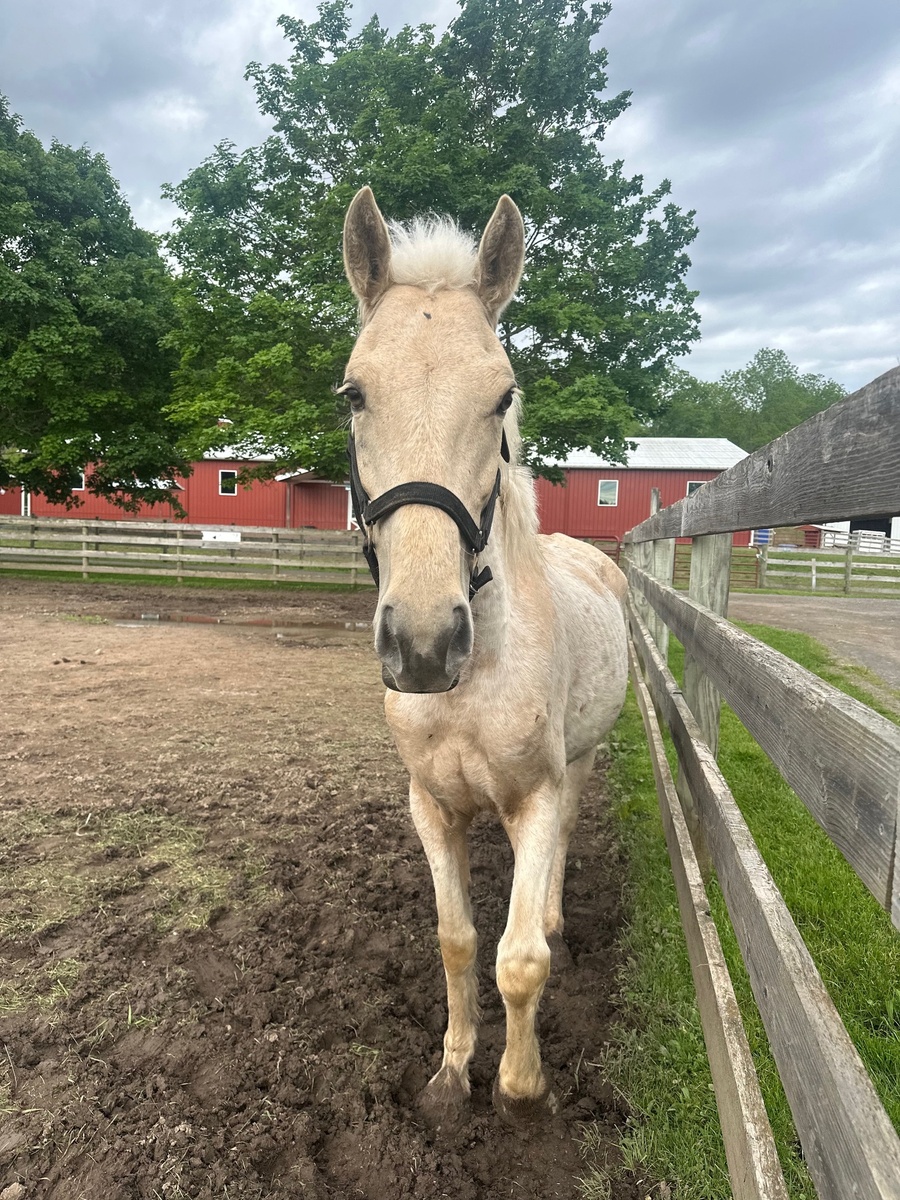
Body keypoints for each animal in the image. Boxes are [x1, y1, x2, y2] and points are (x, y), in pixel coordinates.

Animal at [341, 187, 628, 1127]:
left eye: (502, 397)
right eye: (353, 393)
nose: (425, 645)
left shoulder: (533, 795)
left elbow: (520, 960)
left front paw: (521, 1088)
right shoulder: (433, 806)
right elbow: (459, 940)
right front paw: (451, 1071)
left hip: (581, 760)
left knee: (564, 844)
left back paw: (555, 919)